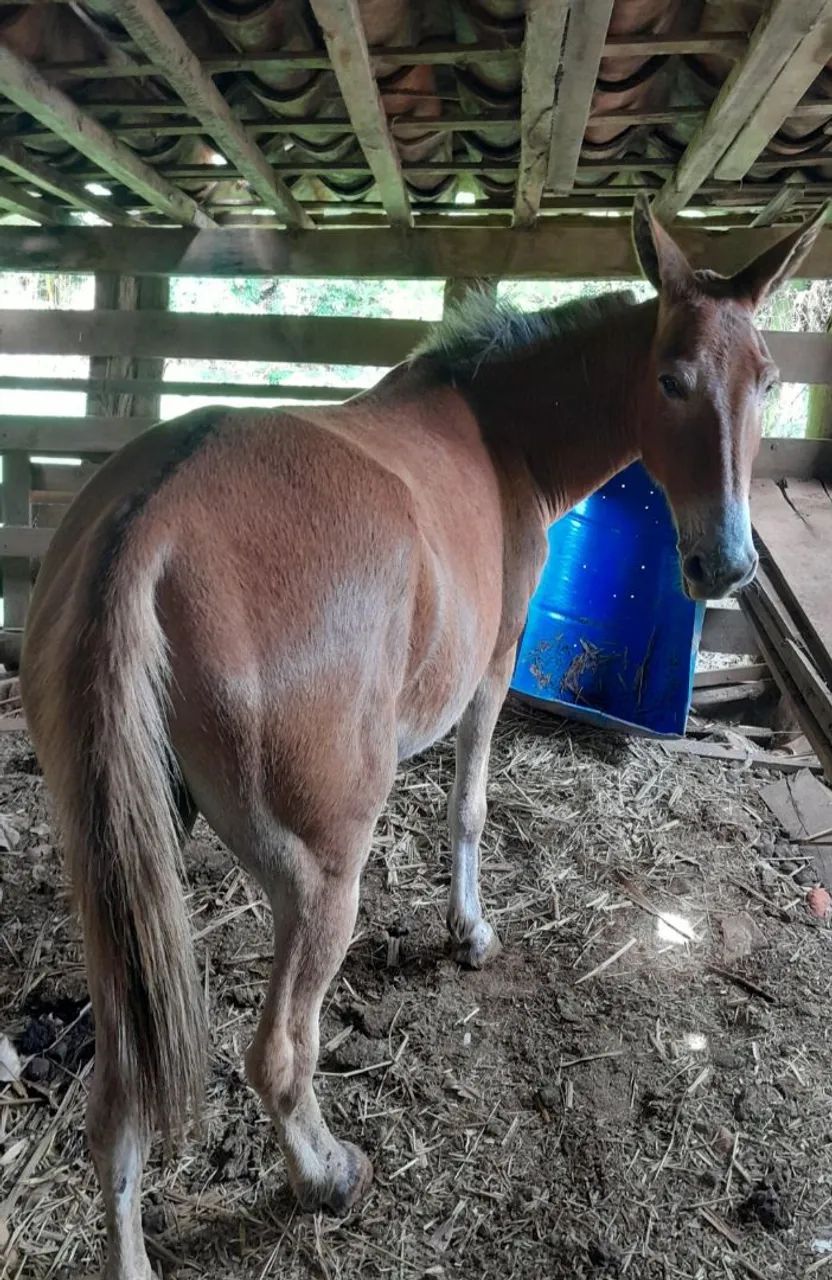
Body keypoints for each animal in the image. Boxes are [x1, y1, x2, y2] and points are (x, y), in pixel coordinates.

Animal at [19, 198, 823, 1279]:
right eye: (670, 377)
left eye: (768, 381)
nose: (726, 564)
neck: (498, 429)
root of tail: (146, 531)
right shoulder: (490, 674)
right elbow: (470, 809)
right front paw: (469, 931)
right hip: (321, 877)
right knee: (278, 1053)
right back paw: (326, 1174)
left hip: (116, 879)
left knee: (119, 1100)